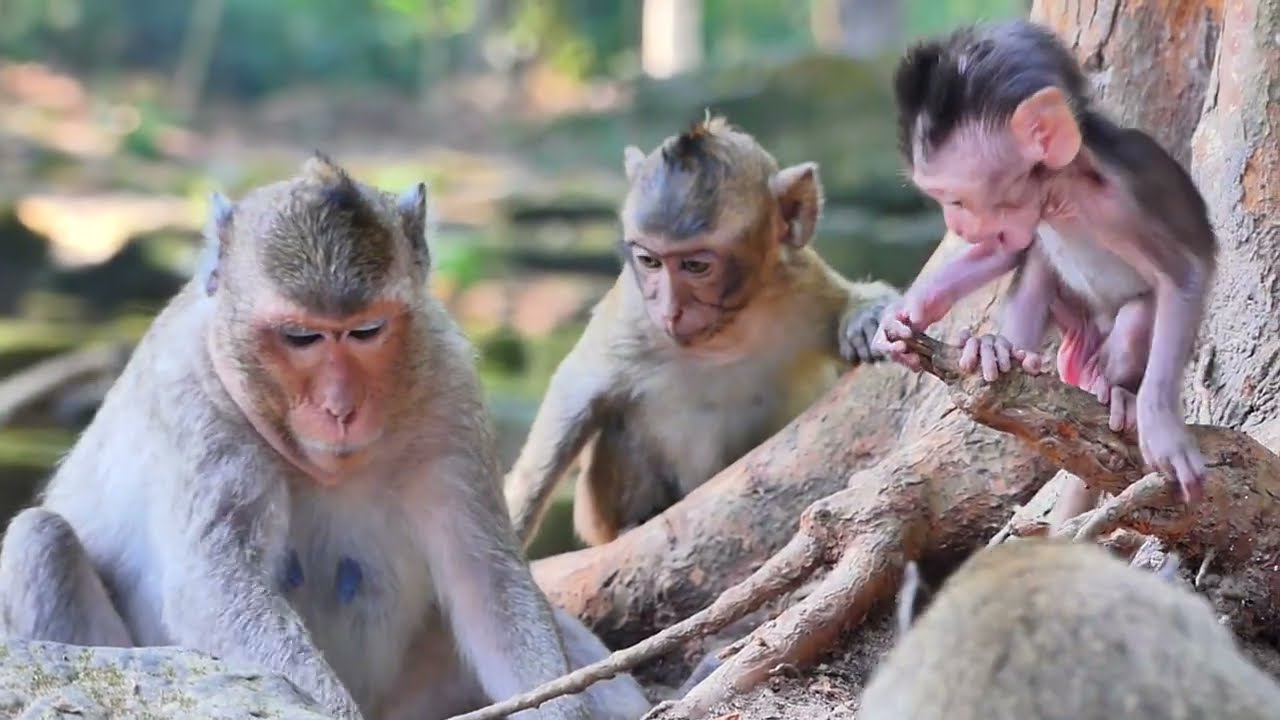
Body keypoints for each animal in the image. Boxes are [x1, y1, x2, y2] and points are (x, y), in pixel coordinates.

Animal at [0, 155, 652, 720]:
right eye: (301, 337)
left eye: (366, 331)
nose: (340, 407)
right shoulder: (197, 404)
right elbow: (213, 587)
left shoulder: (449, 389)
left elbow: (487, 580)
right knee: (40, 541)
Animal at [503, 115, 901, 548]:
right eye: (650, 261)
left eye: (696, 266)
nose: (670, 310)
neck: (725, 333)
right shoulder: (632, 311)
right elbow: (577, 388)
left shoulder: (800, 284)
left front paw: (865, 318)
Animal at [870, 19, 1217, 530]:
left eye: (955, 200)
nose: (956, 226)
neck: (1064, 192)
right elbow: (1008, 248)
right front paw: (908, 312)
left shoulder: (1121, 204)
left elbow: (1186, 275)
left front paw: (1161, 422)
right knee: (1036, 267)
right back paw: (1004, 351)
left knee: (1136, 318)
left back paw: (1114, 392)